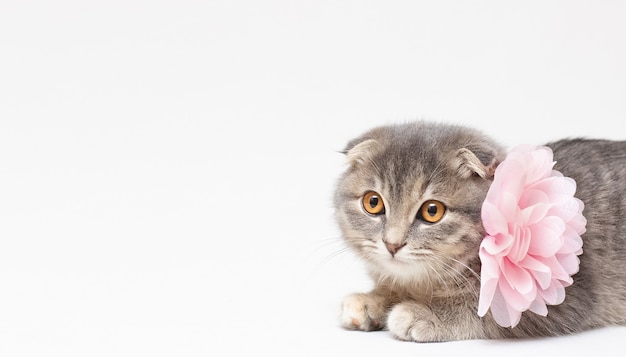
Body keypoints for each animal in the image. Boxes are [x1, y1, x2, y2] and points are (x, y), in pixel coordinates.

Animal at [334, 121, 624, 340]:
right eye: (373, 203)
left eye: (432, 211)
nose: (392, 244)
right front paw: (373, 299)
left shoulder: (563, 296)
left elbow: (485, 310)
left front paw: (422, 313)